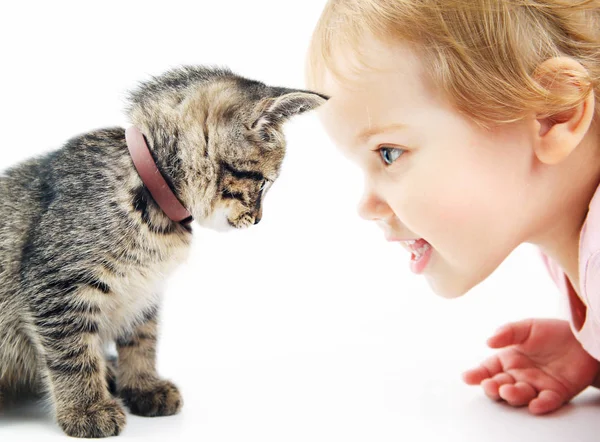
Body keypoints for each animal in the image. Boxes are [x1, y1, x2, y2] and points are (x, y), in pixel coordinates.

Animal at [0, 66, 326, 438]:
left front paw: (142, 385)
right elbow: (73, 352)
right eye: (263, 183)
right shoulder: (56, 285)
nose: (258, 219)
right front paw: (87, 408)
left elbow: (143, 339)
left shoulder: (145, 290)